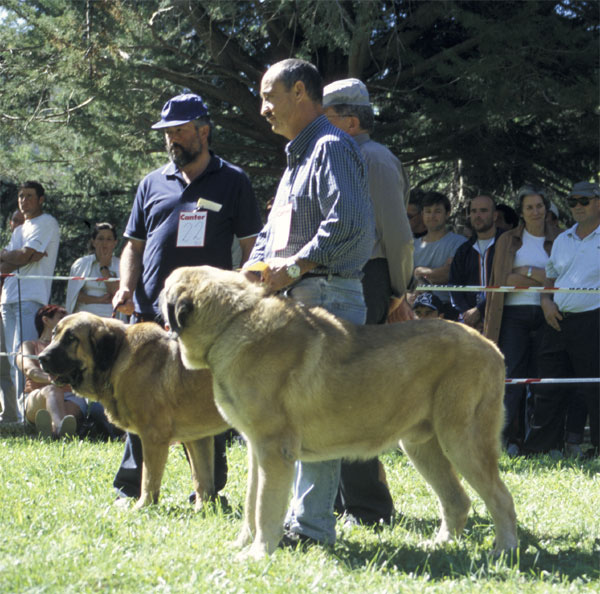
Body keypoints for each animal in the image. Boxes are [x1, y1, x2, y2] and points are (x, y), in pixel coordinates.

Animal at [38, 310, 230, 508]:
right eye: (54, 334)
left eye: (71, 338)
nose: (41, 358)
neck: (117, 356)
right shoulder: (198, 438)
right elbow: (201, 478)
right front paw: (203, 507)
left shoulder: (153, 437)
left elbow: (149, 478)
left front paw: (143, 506)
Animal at [162, 266, 516, 556]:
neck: (233, 321)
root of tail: (492, 347)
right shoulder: (256, 449)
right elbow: (252, 502)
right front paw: (243, 545)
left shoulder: (274, 449)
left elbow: (265, 506)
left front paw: (259, 553)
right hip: (422, 446)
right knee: (457, 499)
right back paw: (440, 544)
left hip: (463, 441)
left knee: (501, 497)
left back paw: (504, 551)